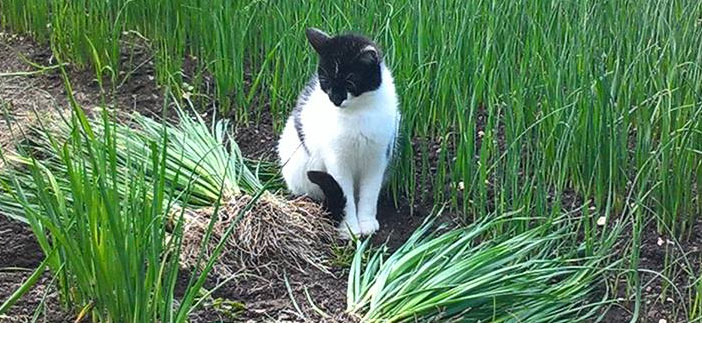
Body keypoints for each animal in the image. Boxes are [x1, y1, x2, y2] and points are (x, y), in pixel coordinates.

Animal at [280, 27, 402, 236]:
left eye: (350, 82)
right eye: (325, 80)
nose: (335, 99)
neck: (358, 113)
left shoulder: (377, 158)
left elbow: (370, 193)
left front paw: (366, 222)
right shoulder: (337, 160)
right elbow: (345, 194)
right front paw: (350, 228)